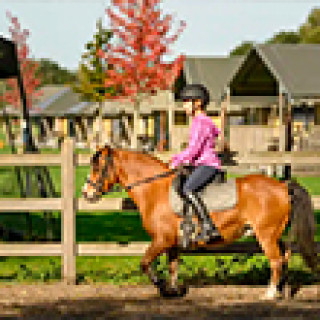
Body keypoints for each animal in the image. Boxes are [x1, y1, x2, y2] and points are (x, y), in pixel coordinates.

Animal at [82, 144, 318, 298]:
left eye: (97, 167)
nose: (86, 193)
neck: (156, 191)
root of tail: (282, 185)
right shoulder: (172, 243)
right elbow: (173, 267)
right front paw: (174, 290)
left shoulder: (161, 240)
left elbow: (145, 263)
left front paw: (163, 288)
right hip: (274, 234)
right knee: (285, 256)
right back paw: (281, 290)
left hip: (266, 235)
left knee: (276, 261)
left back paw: (269, 293)